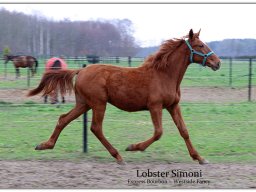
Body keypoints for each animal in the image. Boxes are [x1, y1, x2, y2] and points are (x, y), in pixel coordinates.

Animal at [27, 29, 220, 164]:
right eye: (200, 45)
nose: (217, 63)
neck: (164, 75)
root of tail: (80, 70)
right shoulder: (155, 106)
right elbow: (158, 132)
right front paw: (133, 147)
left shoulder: (173, 106)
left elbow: (184, 131)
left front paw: (200, 158)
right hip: (98, 103)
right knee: (95, 128)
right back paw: (118, 156)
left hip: (84, 104)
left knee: (63, 119)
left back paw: (44, 145)